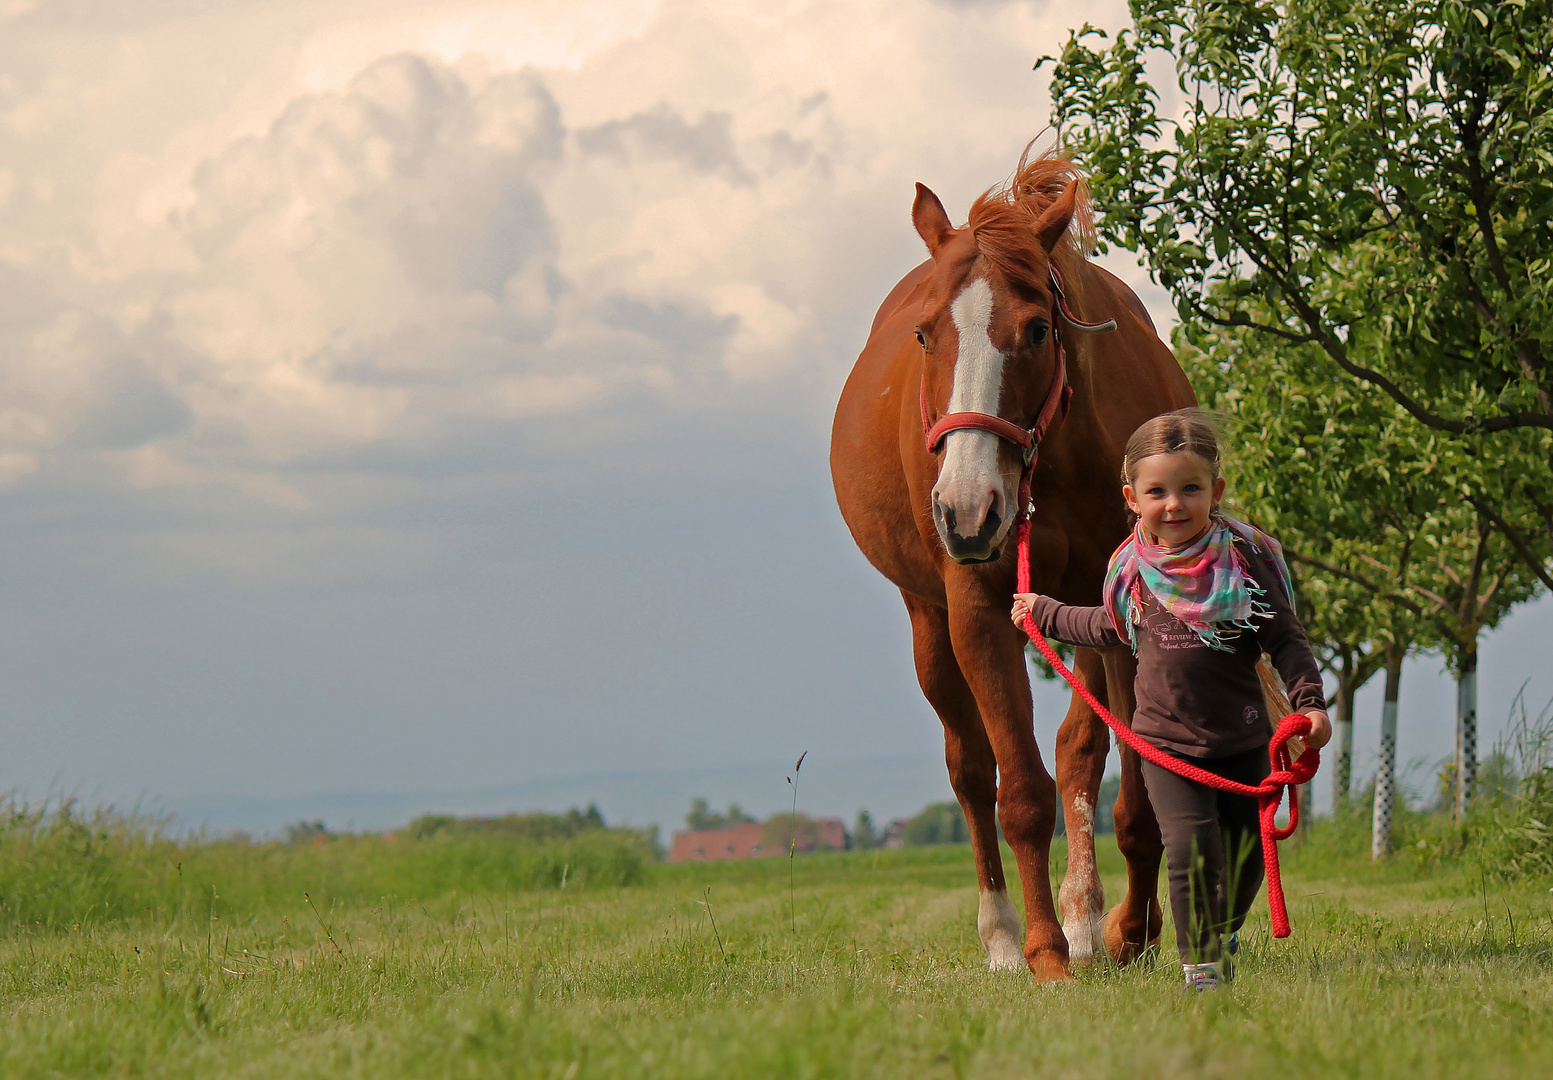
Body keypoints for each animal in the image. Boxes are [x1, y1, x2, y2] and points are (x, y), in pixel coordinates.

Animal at [832, 146, 1192, 982]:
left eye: (1034, 331)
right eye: (925, 334)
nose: (967, 510)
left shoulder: (1121, 614)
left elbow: (1131, 784)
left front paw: (1128, 931)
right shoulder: (977, 611)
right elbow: (1018, 790)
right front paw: (1043, 952)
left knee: (1078, 750)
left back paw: (1091, 917)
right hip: (927, 621)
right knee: (968, 768)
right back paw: (1001, 933)